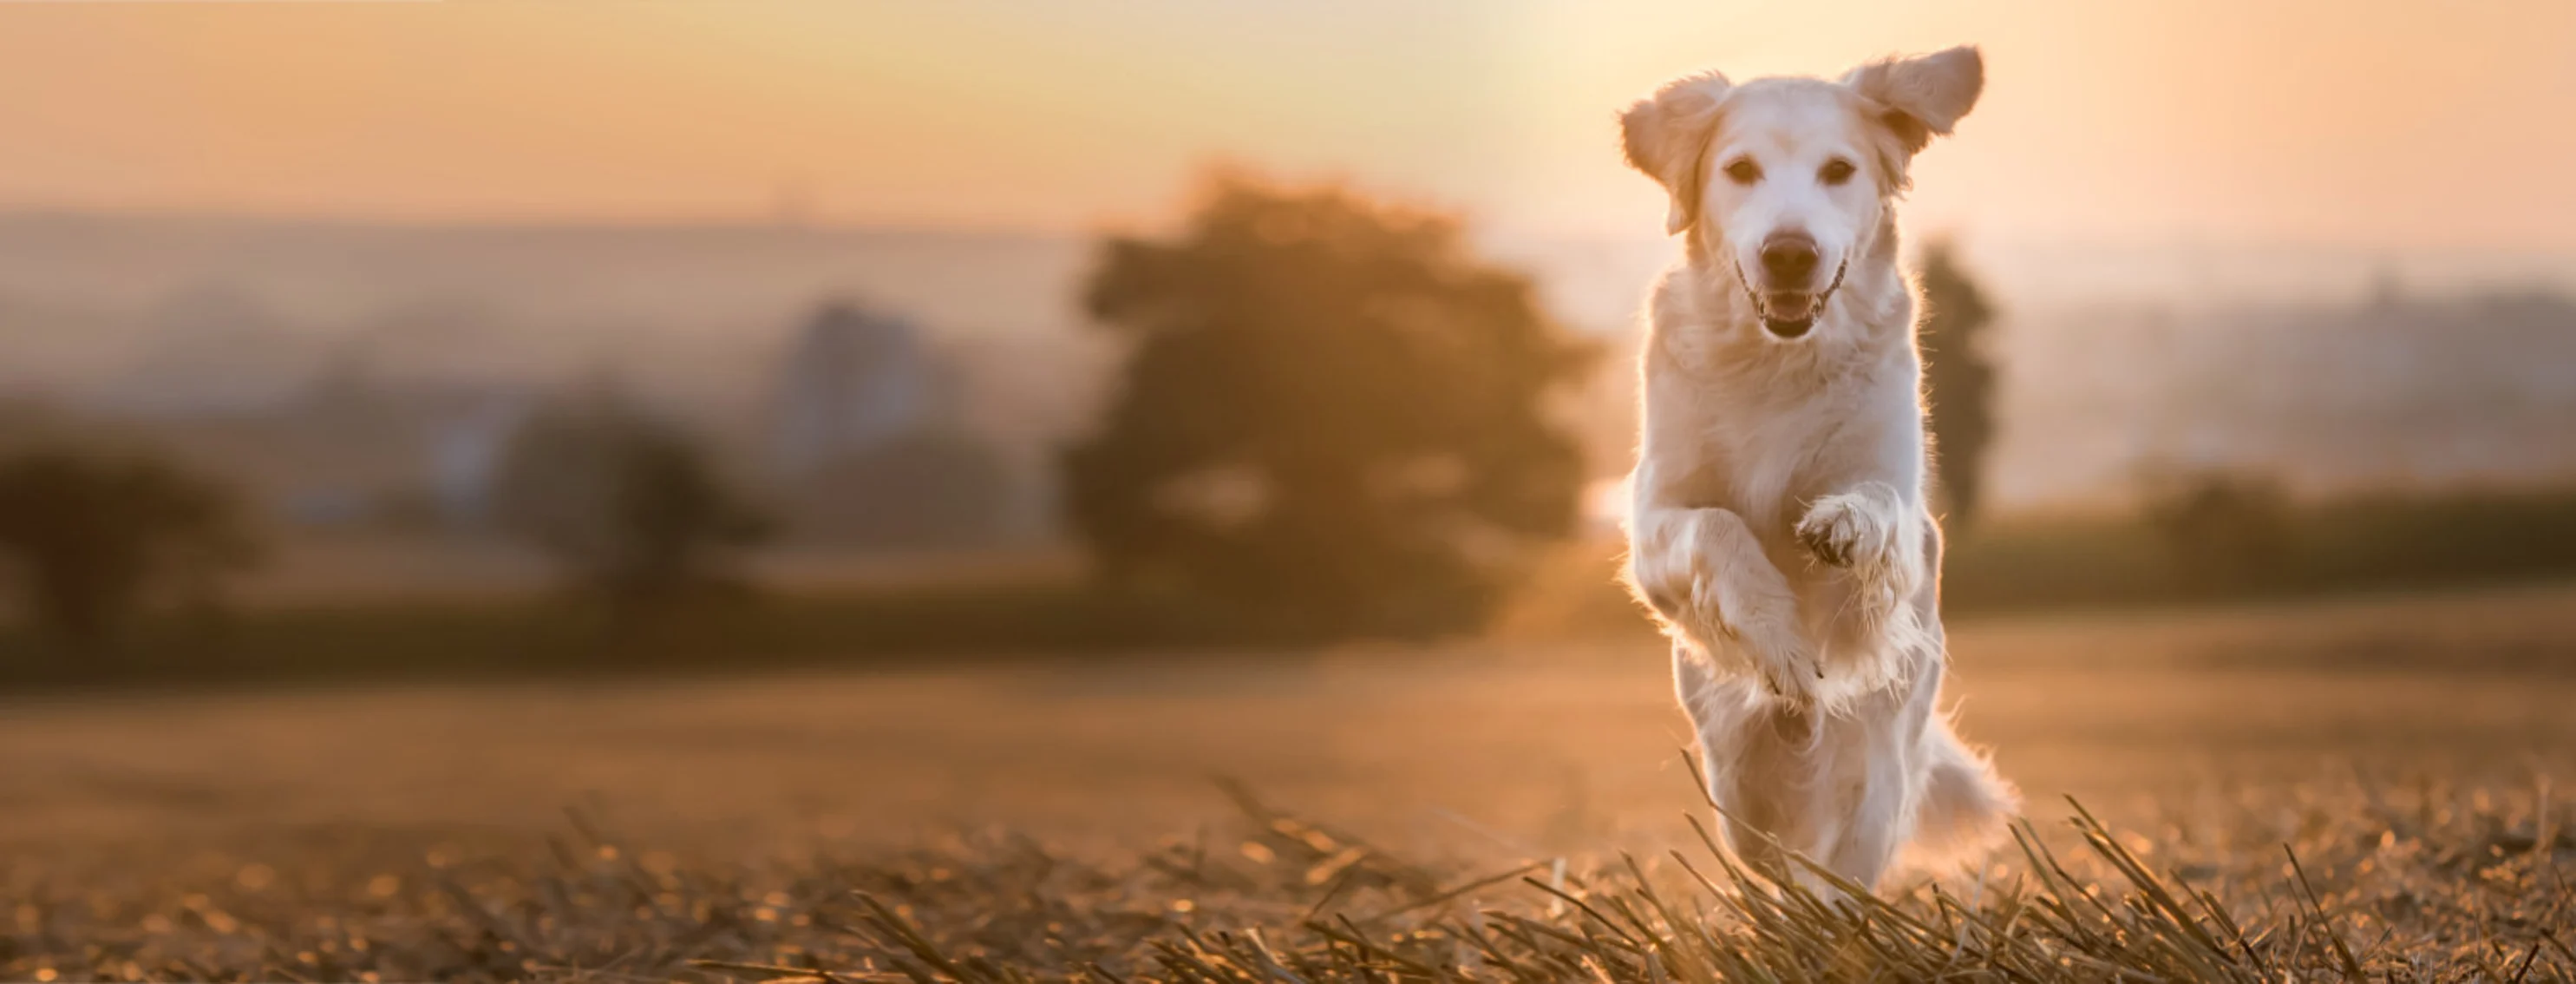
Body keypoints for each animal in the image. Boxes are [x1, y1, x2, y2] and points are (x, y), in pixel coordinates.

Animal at [1618, 46, 2019, 891]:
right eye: (1739, 169)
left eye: (1839, 170)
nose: (1790, 253)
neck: (1777, 362)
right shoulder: (1654, 523)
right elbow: (1718, 528)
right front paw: (1778, 639)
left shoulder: (1900, 503)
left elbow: (1876, 510)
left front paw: (1842, 526)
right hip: (1737, 780)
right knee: (1773, 864)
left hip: (1879, 767)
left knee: (1842, 872)